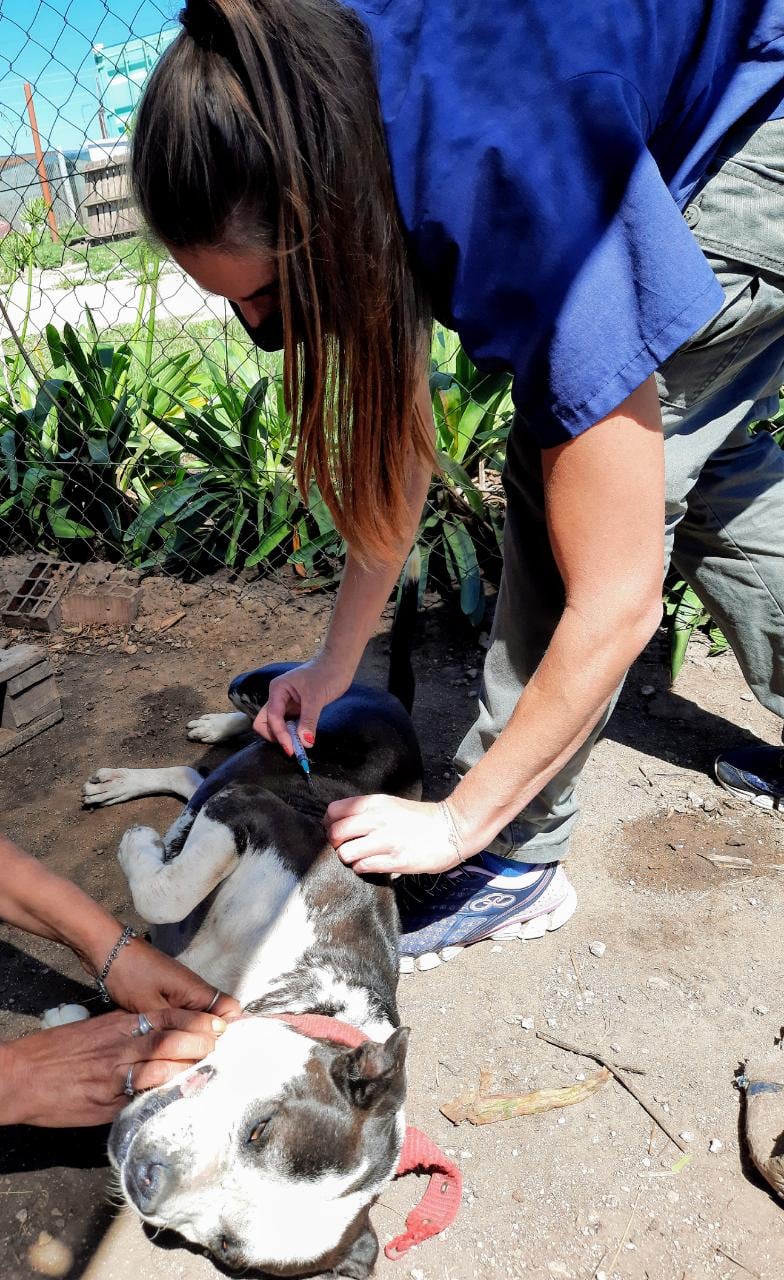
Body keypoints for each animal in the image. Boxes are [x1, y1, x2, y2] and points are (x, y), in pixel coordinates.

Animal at [83, 573, 425, 1280]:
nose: (147, 1180)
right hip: (284, 702)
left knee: (191, 776)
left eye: (223, 1249)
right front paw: (140, 850)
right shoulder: (254, 814)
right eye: (260, 1128)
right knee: (256, 714)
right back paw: (216, 729)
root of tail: (400, 709)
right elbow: (170, 891)